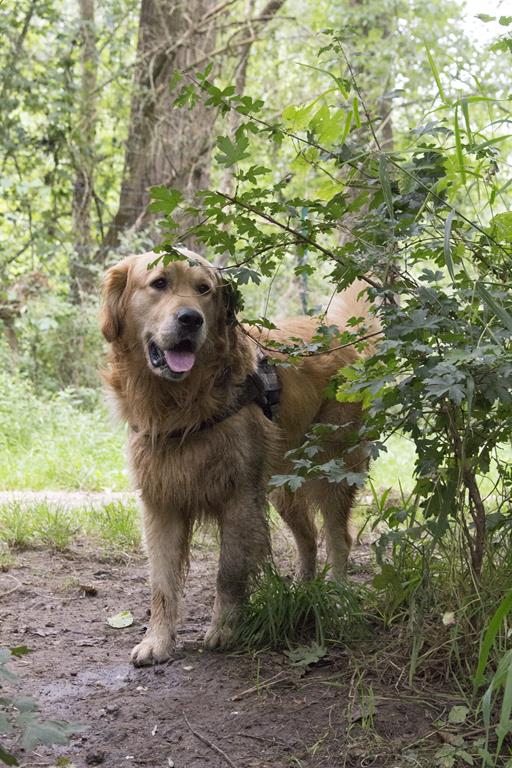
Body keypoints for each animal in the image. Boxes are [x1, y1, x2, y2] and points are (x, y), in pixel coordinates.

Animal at [100, 249, 374, 664]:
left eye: (204, 290)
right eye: (159, 283)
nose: (191, 319)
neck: (179, 406)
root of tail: (339, 332)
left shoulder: (239, 495)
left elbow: (228, 573)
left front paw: (225, 630)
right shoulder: (160, 501)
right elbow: (161, 582)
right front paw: (157, 641)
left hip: (332, 469)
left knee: (337, 537)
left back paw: (339, 600)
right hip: (281, 487)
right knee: (308, 538)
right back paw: (303, 591)